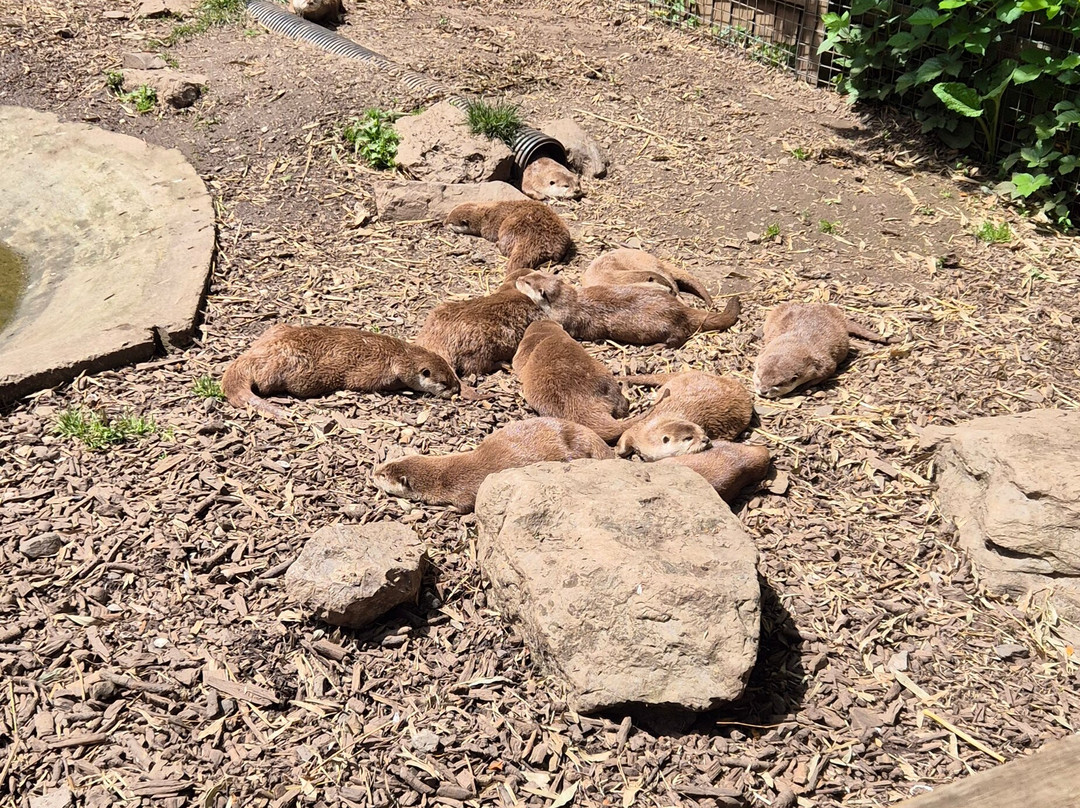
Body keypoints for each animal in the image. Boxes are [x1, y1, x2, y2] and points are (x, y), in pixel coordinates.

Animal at [372, 417, 614, 512]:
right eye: (386, 463)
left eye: (384, 477)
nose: (373, 473)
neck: (443, 476)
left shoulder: (463, 490)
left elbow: (465, 506)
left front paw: (448, 509)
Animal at [515, 272, 740, 348]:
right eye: (531, 275)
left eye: (527, 283)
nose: (518, 278)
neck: (569, 301)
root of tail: (679, 309)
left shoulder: (567, 320)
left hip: (666, 326)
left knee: (679, 337)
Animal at [615, 371, 754, 460]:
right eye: (688, 438)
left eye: (703, 431)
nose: (706, 439)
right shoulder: (638, 428)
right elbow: (625, 436)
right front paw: (618, 451)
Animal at [753, 303, 887, 398]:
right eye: (759, 377)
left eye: (777, 384)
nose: (763, 391)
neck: (797, 343)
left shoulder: (824, 363)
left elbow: (828, 371)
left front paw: (804, 386)